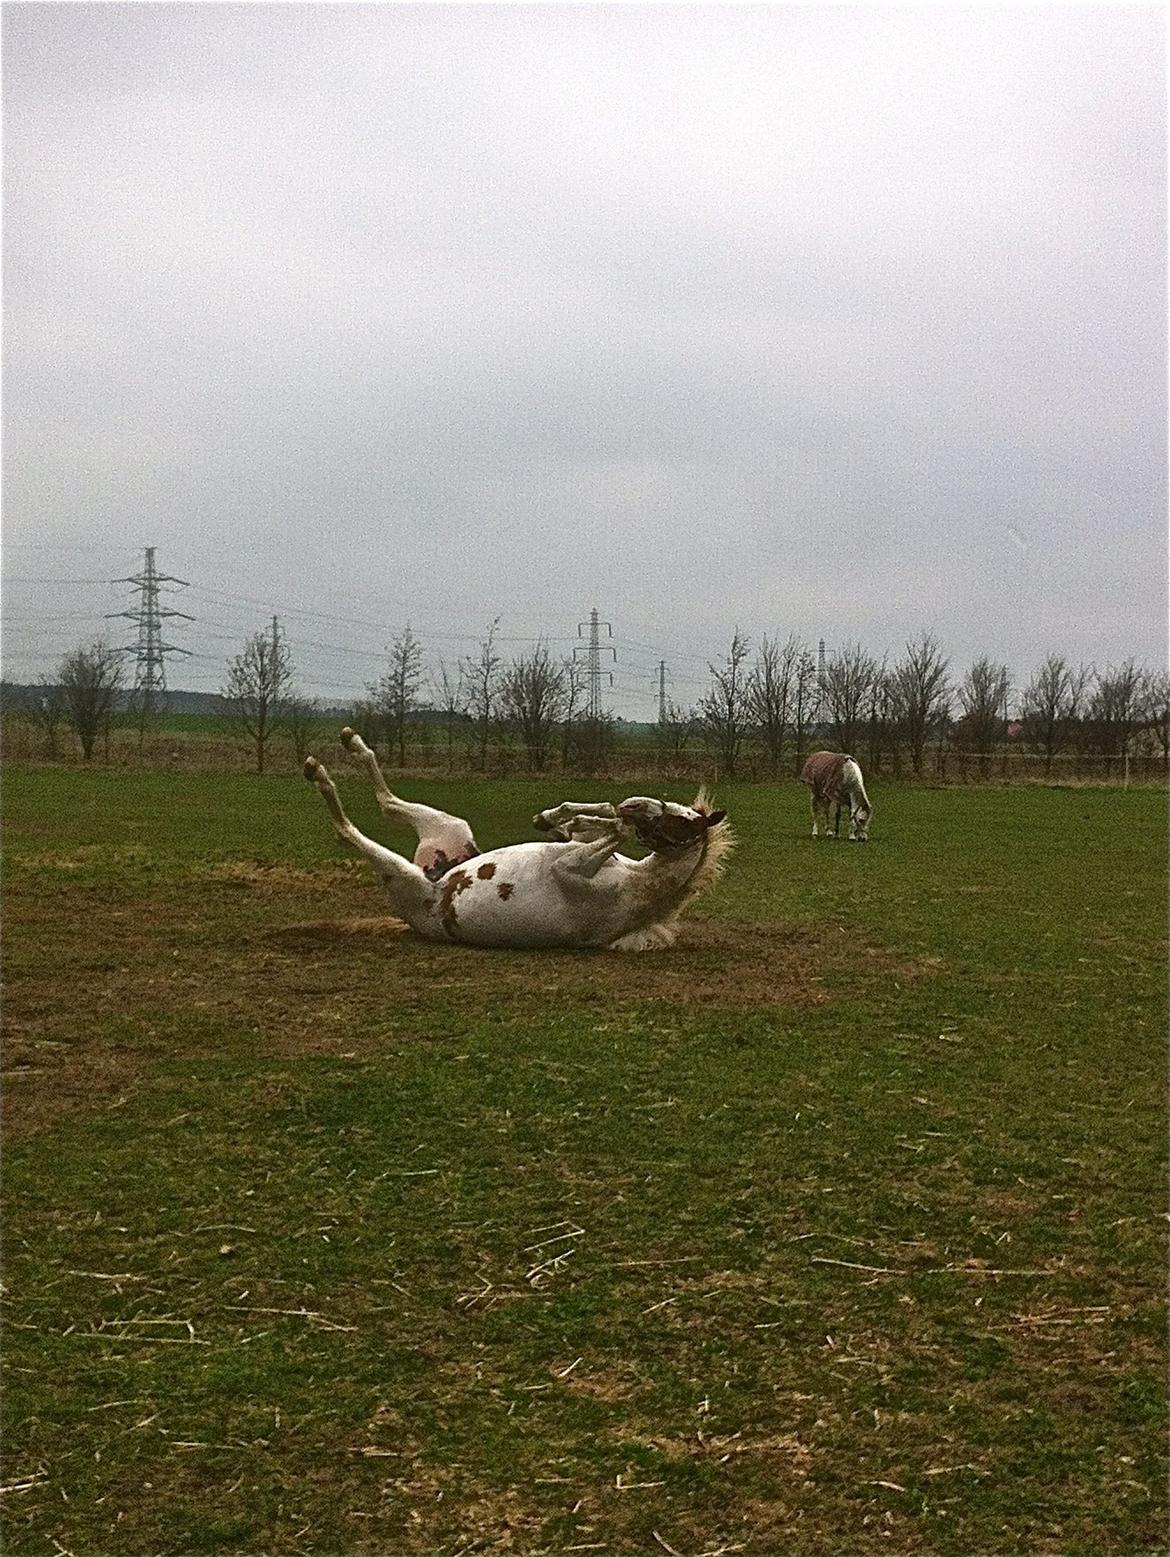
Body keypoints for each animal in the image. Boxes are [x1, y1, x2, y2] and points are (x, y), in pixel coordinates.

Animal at [302, 725, 732, 946]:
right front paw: (553, 816)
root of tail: (436, 877)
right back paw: (349, 743)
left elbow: (616, 828)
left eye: (683, 825)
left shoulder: (569, 867)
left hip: (403, 876)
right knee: (388, 803)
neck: (637, 882)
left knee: (349, 828)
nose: (637, 803)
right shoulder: (578, 848)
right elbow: (599, 819)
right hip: (451, 827)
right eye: (675, 806)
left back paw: (319, 773)